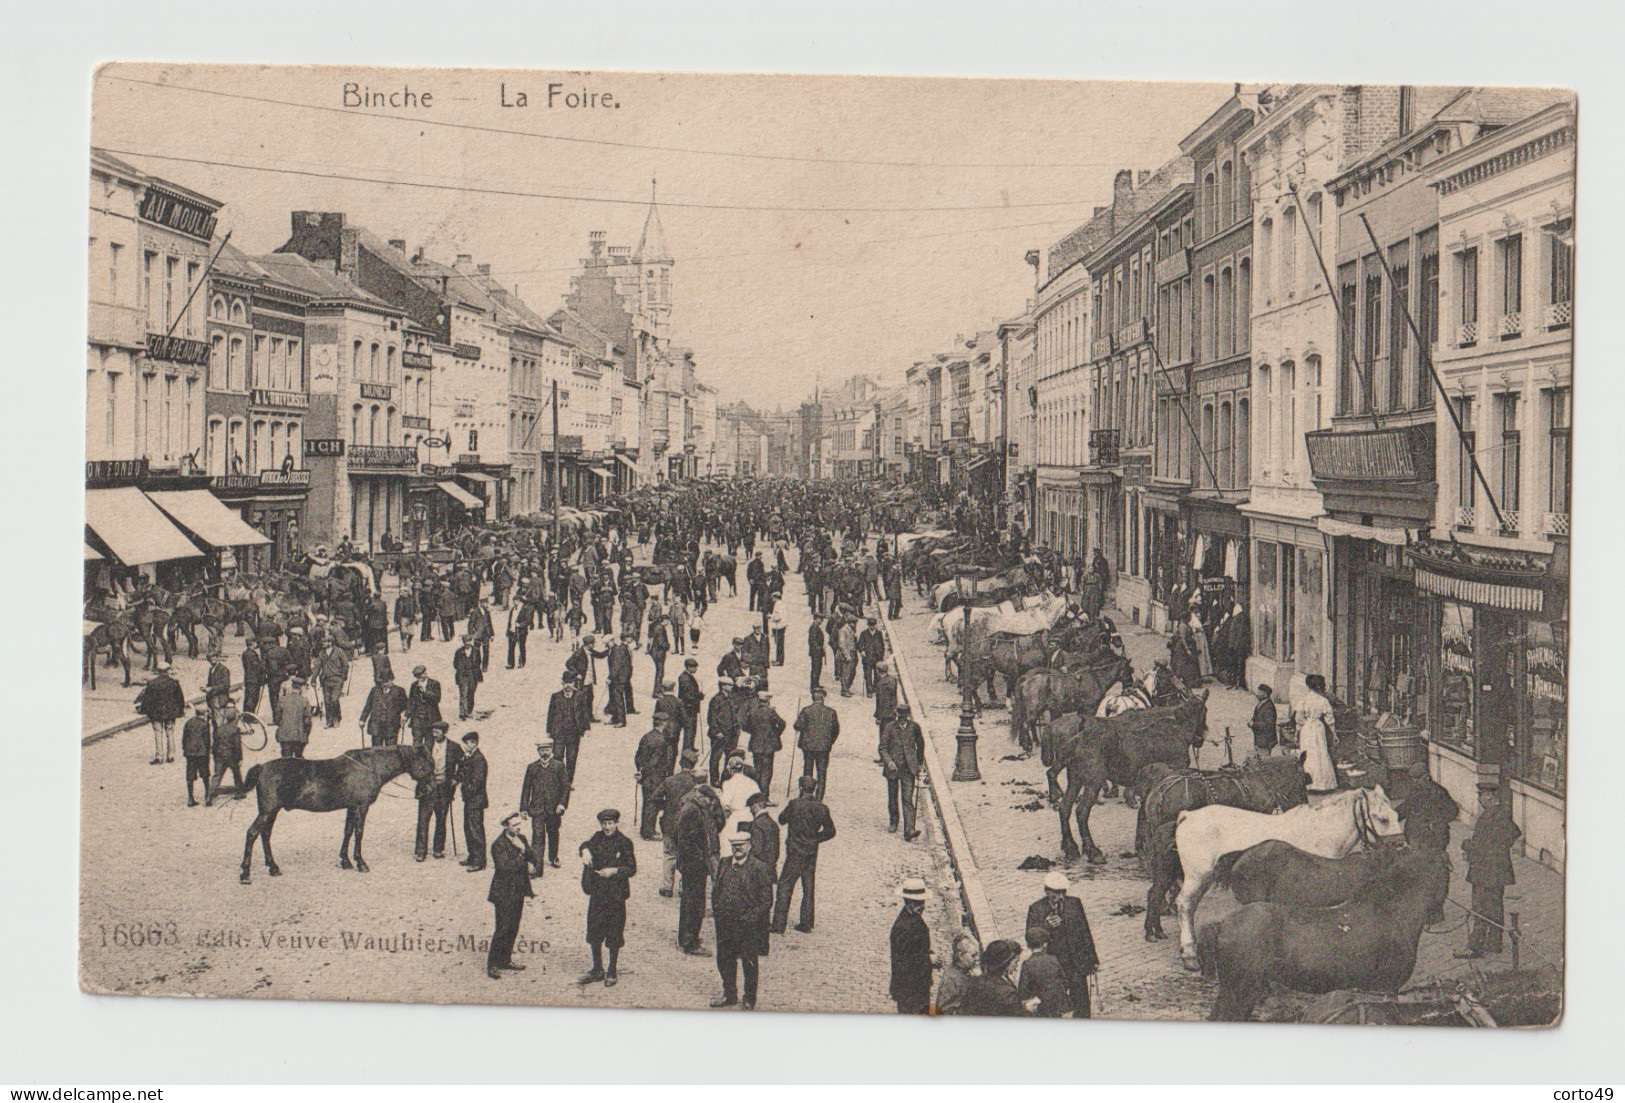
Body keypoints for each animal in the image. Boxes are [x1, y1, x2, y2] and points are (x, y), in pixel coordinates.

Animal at [232, 747, 432, 883]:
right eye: (425, 762)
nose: (429, 788)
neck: (370, 766)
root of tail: (262, 767)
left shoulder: (352, 807)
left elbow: (348, 832)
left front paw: (346, 861)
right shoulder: (361, 806)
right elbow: (359, 833)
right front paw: (361, 862)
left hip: (272, 811)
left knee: (265, 835)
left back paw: (273, 867)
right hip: (267, 811)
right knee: (252, 833)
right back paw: (245, 873)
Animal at [1046, 688, 1215, 864]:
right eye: (1205, 711)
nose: (1200, 739)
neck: (1181, 731)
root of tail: (1075, 740)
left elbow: (1143, 813)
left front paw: (1140, 846)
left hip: (1075, 779)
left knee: (1065, 807)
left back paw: (1070, 847)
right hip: (1094, 782)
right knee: (1081, 811)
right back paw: (1093, 851)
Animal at [1176, 789, 1404, 968]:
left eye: (1396, 815)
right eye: (1382, 819)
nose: (1401, 847)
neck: (1322, 831)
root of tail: (1188, 815)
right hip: (1197, 877)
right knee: (1185, 905)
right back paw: (1190, 955)